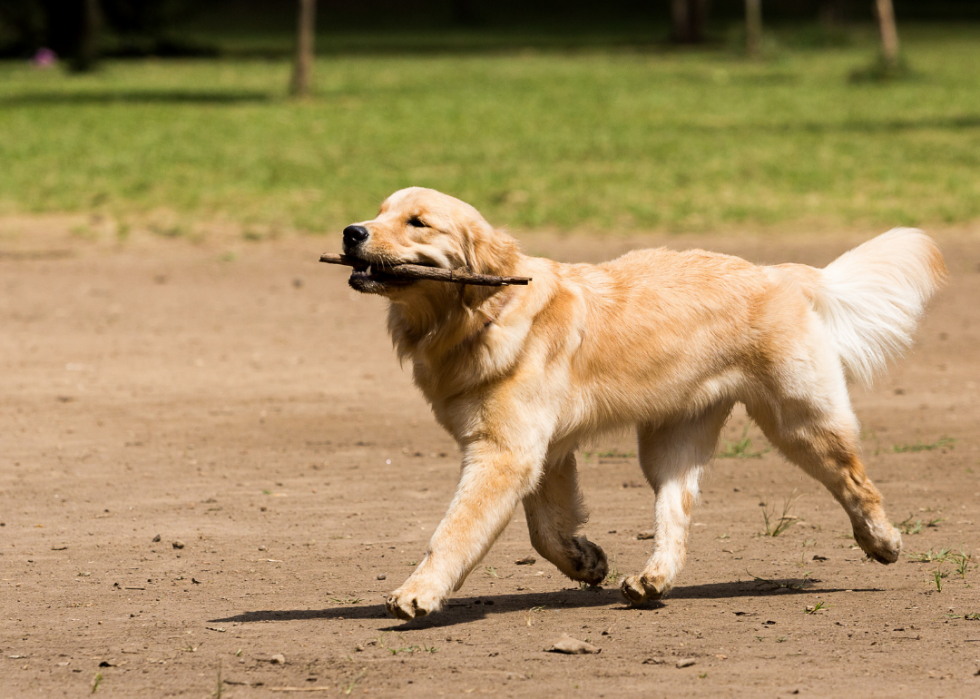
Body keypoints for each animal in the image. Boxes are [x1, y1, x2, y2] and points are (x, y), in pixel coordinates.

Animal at [340, 187, 944, 624]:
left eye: (417, 222)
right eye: (379, 212)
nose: (351, 231)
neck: (484, 312)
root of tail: (777, 272)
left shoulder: (505, 453)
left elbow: (455, 530)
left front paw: (419, 592)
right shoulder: (543, 453)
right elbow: (545, 530)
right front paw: (585, 561)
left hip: (800, 421)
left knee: (855, 481)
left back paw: (882, 541)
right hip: (669, 442)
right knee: (676, 512)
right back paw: (652, 580)